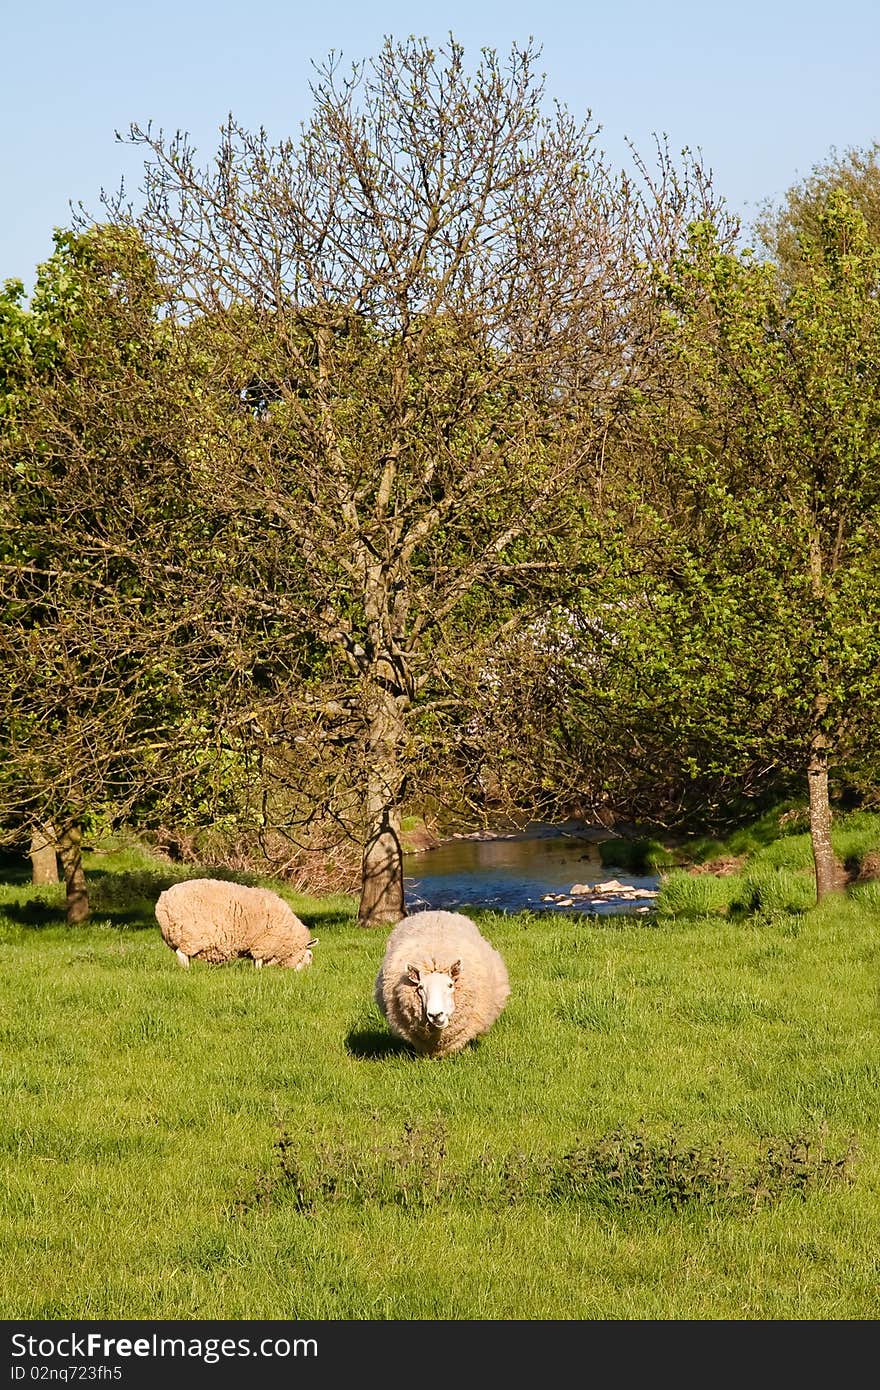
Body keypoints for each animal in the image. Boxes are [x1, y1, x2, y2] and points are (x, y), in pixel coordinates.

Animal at [154, 878, 315, 967]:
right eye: (309, 956)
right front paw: (258, 973)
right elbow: (258, 962)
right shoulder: (263, 944)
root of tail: (164, 901)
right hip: (190, 934)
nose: (302, 975)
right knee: (182, 954)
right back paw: (186, 970)